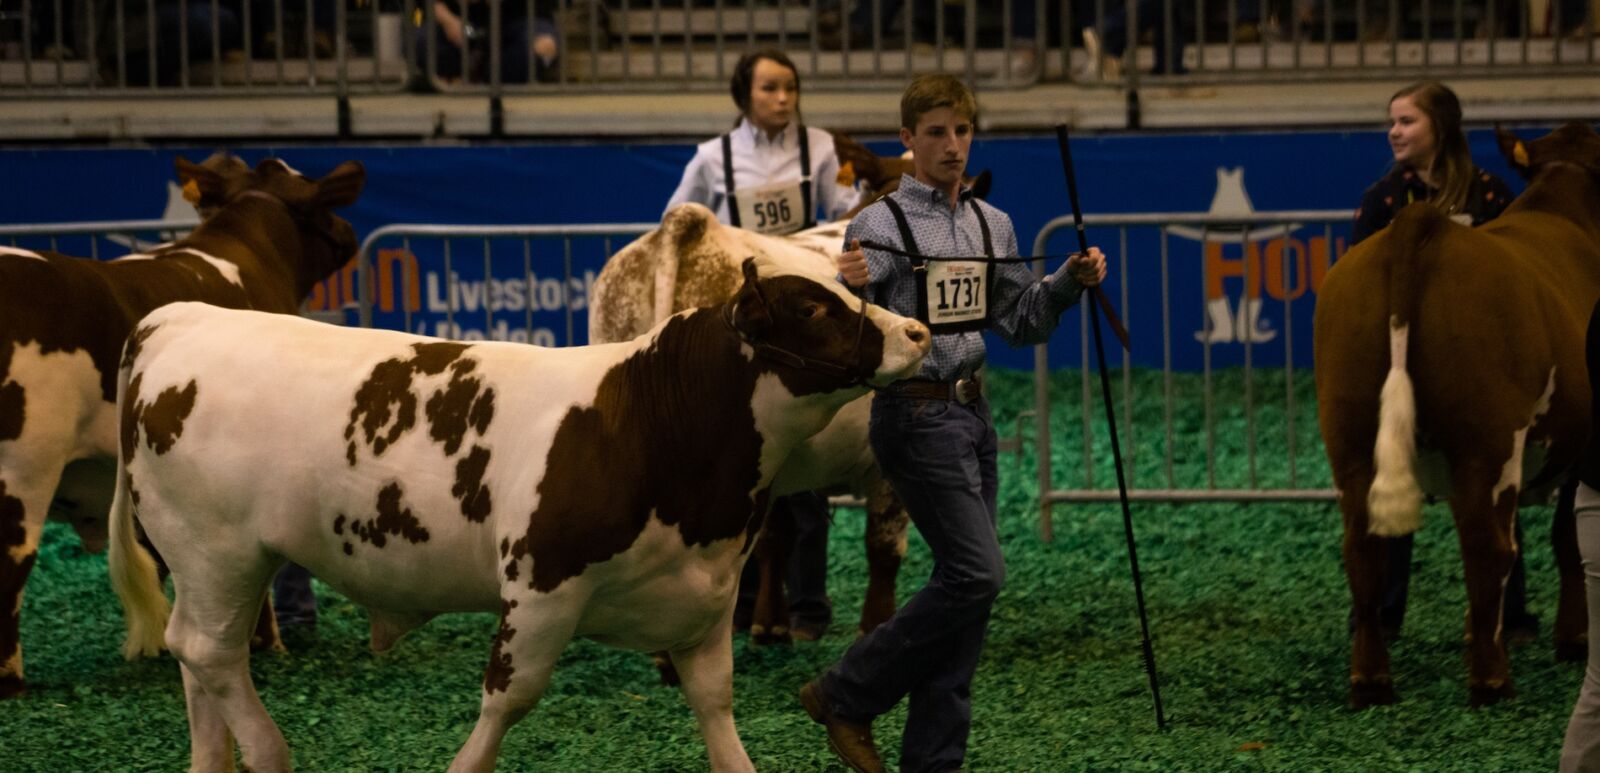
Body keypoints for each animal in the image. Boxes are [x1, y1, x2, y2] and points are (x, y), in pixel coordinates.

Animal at [0, 152, 363, 694]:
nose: (350, 232)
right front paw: (265, 642)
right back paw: (12, 683)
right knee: (12, 564)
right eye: (320, 199)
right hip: (25, 466)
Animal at [109, 259, 928, 768]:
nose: (918, 332)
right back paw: (269, 751)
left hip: (208, 564)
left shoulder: (703, 595)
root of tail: (179, 318)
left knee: (199, 659)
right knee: (210, 651)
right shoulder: (541, 587)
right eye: (813, 307)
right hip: (219, 549)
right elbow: (510, 698)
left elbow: (717, 708)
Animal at [1312, 124, 1600, 710]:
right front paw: (1573, 640)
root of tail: (1419, 226)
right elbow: (1566, 542)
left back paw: (1371, 680)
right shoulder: (1575, 448)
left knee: (1364, 549)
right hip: (1488, 439)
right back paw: (1491, 680)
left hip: (1349, 436)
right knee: (1488, 546)